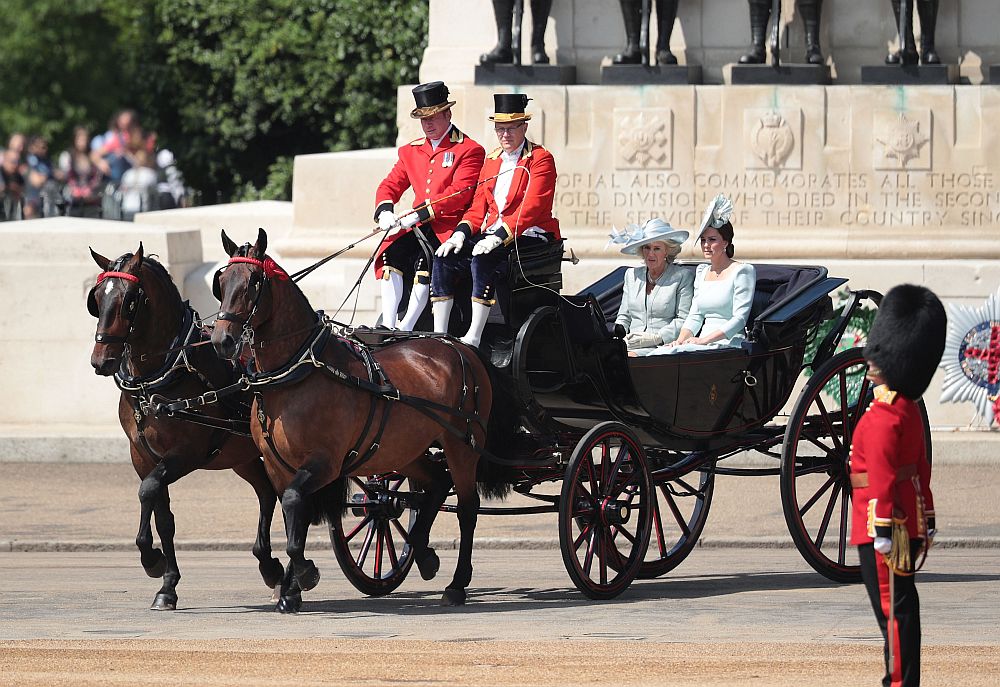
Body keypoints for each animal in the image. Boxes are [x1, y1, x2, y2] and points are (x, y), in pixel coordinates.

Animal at [90, 245, 286, 612]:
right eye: (96, 298)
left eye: (130, 300)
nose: (101, 361)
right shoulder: (143, 457)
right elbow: (162, 515)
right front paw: (167, 583)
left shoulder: (185, 454)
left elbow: (147, 492)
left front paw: (152, 560)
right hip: (243, 458)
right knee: (268, 493)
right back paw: (271, 568)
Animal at [213, 231, 494, 612]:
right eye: (222, 283)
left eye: (253, 282)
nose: (221, 340)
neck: (294, 375)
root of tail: (461, 347)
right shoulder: (277, 465)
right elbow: (292, 516)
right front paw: (291, 589)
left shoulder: (326, 463)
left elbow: (293, 505)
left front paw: (304, 573)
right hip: (405, 449)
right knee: (435, 485)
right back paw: (423, 554)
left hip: (461, 446)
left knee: (467, 508)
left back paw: (457, 583)